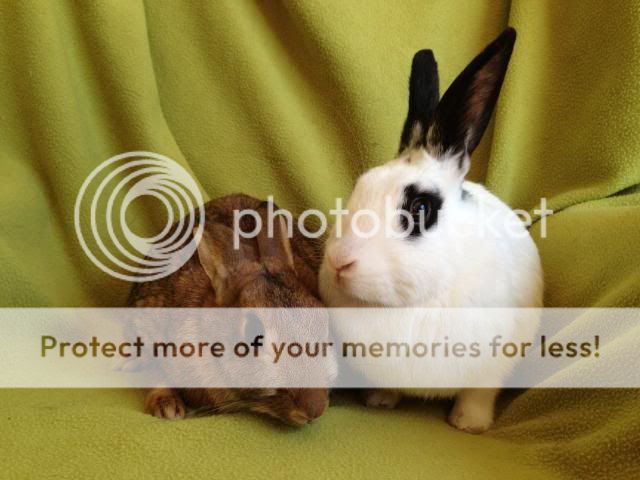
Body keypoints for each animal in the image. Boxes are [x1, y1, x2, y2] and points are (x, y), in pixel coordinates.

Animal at [318, 28, 544, 434]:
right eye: (360, 186)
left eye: (421, 208)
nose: (339, 262)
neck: (418, 301)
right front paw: (379, 401)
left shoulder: (494, 364)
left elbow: (479, 392)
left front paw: (469, 424)